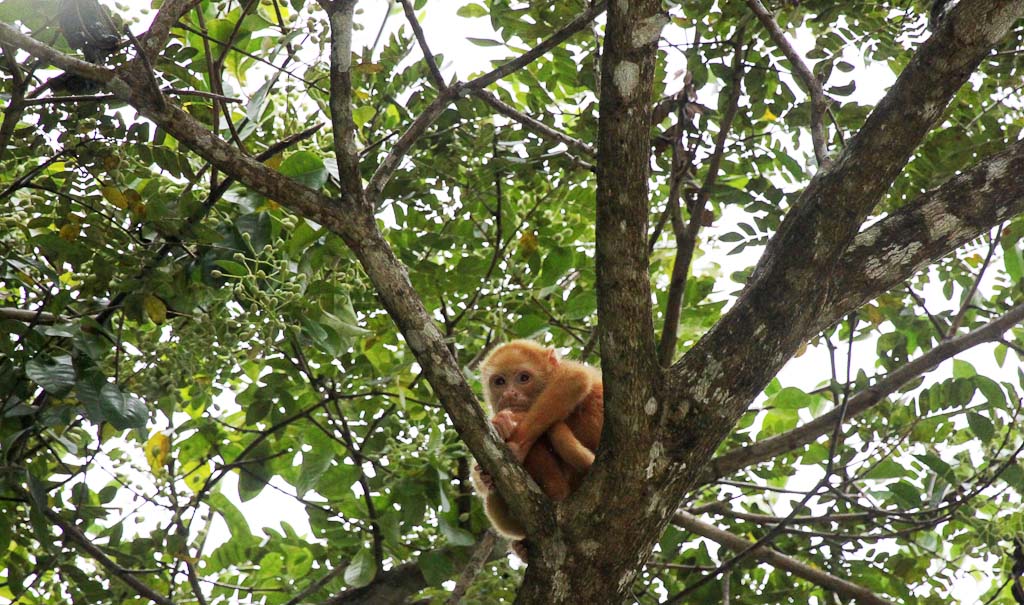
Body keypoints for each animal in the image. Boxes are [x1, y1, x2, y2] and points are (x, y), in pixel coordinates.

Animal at [470, 339, 603, 542]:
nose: (509, 394)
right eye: (500, 382)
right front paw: (483, 477)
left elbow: (575, 379)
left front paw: (516, 437)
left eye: (524, 378)